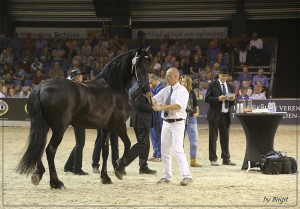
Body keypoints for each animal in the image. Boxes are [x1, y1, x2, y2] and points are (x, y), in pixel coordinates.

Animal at [16, 47, 151, 189]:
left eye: (148, 64)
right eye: (137, 64)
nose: (145, 88)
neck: (114, 87)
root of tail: (40, 87)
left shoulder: (106, 128)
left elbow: (105, 150)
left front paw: (105, 177)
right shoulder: (119, 124)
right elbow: (127, 143)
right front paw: (119, 169)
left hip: (43, 126)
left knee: (39, 147)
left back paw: (38, 173)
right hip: (59, 128)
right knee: (50, 150)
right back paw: (56, 182)